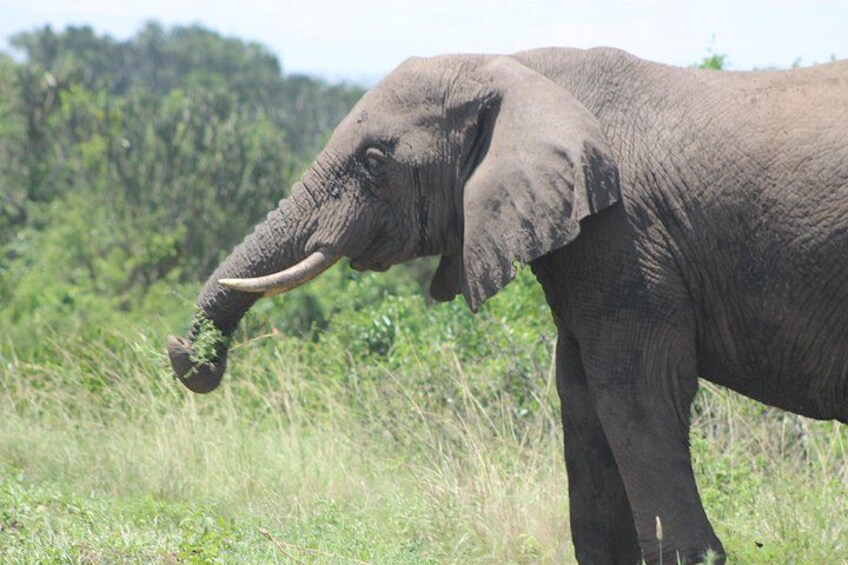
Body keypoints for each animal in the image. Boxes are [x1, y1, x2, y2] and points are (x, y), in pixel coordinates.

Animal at [166, 47, 848, 564]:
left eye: (375, 161)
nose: (187, 355)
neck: (515, 68)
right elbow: (582, 394)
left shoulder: (627, 235)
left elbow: (637, 389)